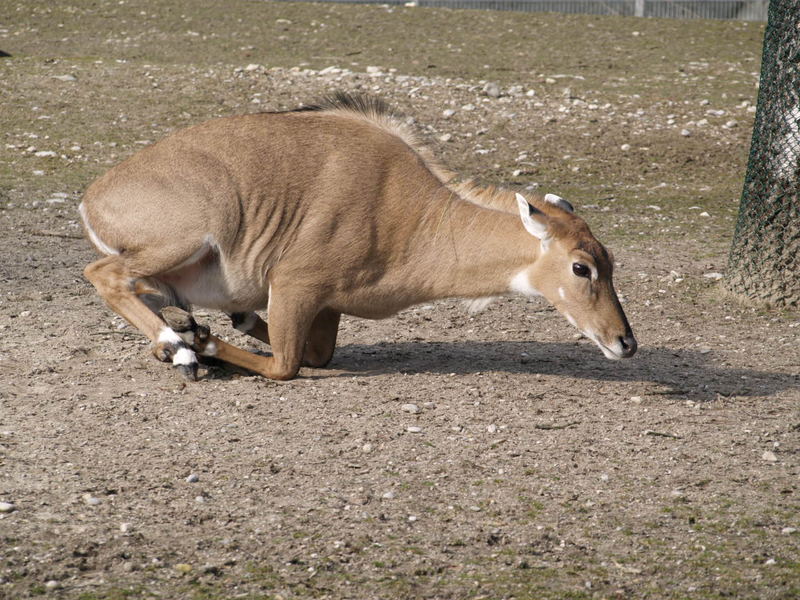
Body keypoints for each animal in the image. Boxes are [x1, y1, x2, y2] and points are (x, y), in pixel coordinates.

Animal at [81, 93, 636, 380]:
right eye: (580, 267)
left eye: (608, 261)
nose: (625, 342)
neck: (413, 214)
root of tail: (93, 196)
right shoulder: (295, 285)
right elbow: (285, 365)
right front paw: (202, 343)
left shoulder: (326, 306)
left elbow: (315, 355)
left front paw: (218, 328)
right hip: (184, 238)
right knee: (104, 273)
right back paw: (178, 346)